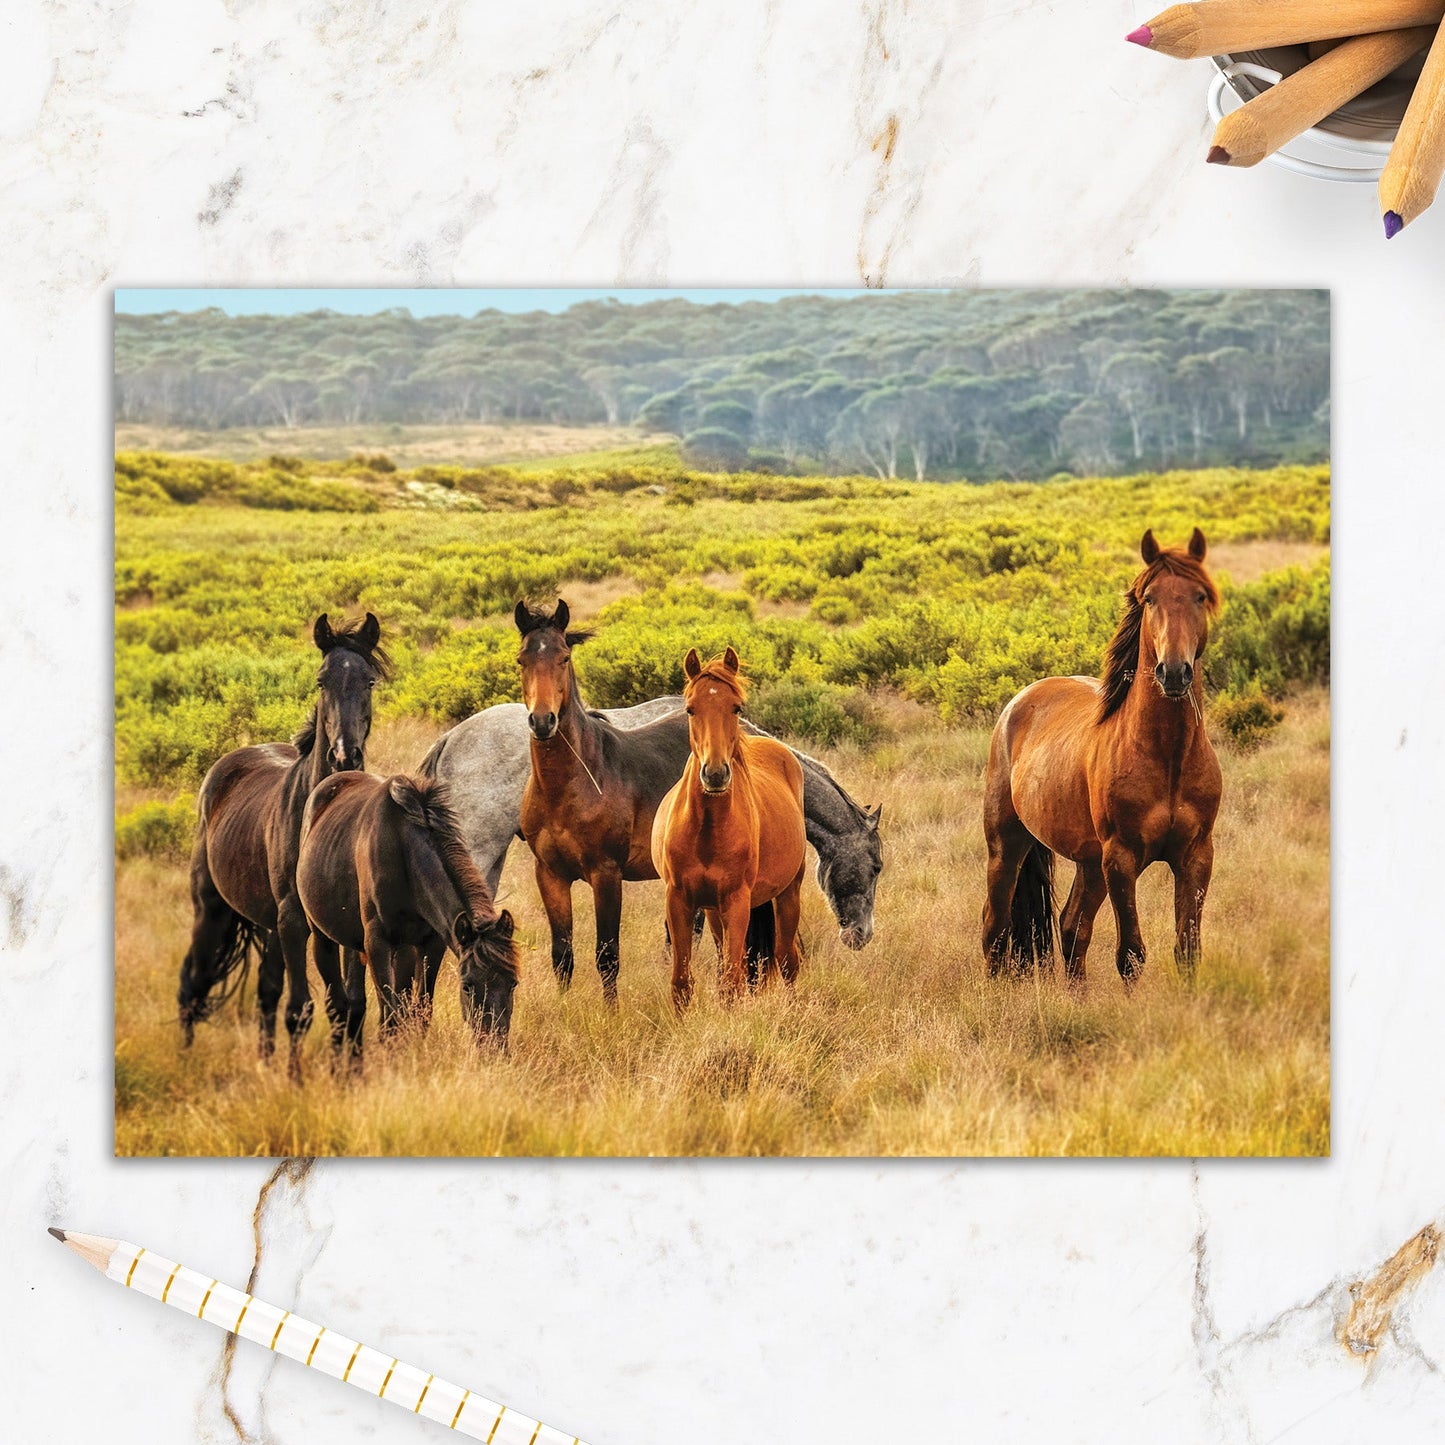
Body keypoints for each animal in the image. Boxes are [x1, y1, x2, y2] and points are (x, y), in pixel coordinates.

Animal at [176, 613, 389, 1075]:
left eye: (369, 680)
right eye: (321, 680)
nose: (345, 755)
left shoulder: (344, 924)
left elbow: (351, 1004)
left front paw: (349, 1074)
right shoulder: (294, 920)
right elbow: (302, 1008)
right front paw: (297, 1081)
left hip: (269, 926)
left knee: (265, 992)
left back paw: (265, 1061)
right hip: (212, 911)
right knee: (191, 982)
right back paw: (184, 1059)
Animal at [297, 773, 519, 1044]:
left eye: (513, 984)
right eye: (467, 985)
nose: (494, 1045)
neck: (403, 852)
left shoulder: (431, 943)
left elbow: (420, 1012)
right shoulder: (377, 943)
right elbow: (391, 1018)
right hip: (323, 937)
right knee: (337, 1003)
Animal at [652, 648, 807, 1011]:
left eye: (736, 707)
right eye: (690, 709)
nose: (716, 774)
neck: (706, 829)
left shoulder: (737, 902)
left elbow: (732, 983)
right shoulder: (679, 900)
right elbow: (682, 983)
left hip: (788, 893)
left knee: (787, 960)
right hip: (713, 911)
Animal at [981, 528, 1222, 986]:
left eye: (1200, 596)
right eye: (1150, 599)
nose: (1174, 672)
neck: (1167, 756)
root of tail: (1019, 702)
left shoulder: (1196, 856)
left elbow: (1188, 950)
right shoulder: (1121, 860)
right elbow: (1131, 954)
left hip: (1089, 862)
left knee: (1071, 927)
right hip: (1007, 845)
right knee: (995, 926)